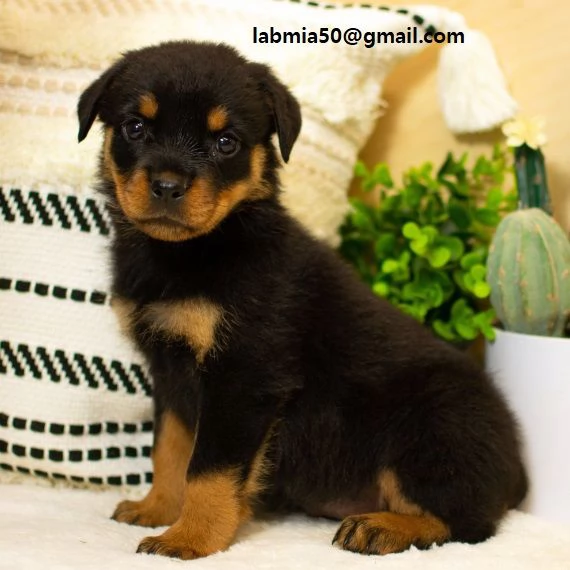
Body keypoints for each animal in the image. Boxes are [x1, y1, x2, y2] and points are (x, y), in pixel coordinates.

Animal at [77, 42, 524, 556]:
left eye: (226, 142)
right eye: (135, 127)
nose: (167, 187)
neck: (193, 253)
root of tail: (517, 470)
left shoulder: (243, 377)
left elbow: (209, 470)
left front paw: (191, 538)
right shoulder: (170, 373)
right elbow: (170, 449)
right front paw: (159, 509)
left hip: (433, 427)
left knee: (468, 523)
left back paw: (380, 528)